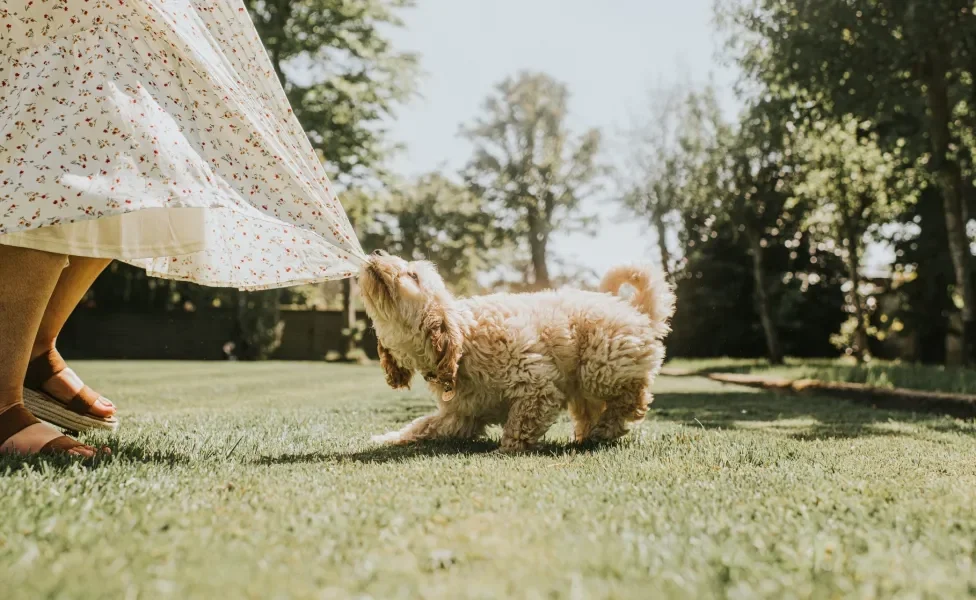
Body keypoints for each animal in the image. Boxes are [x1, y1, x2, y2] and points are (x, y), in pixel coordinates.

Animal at [360, 251, 680, 452]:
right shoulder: (459, 416)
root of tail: (639, 313)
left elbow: (520, 424)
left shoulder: (537, 387)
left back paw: (605, 430)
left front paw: (504, 450)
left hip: (601, 368)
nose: (376, 250)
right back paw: (588, 435)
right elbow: (421, 426)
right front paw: (386, 438)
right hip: (584, 389)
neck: (465, 344)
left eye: (412, 275)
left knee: (633, 399)